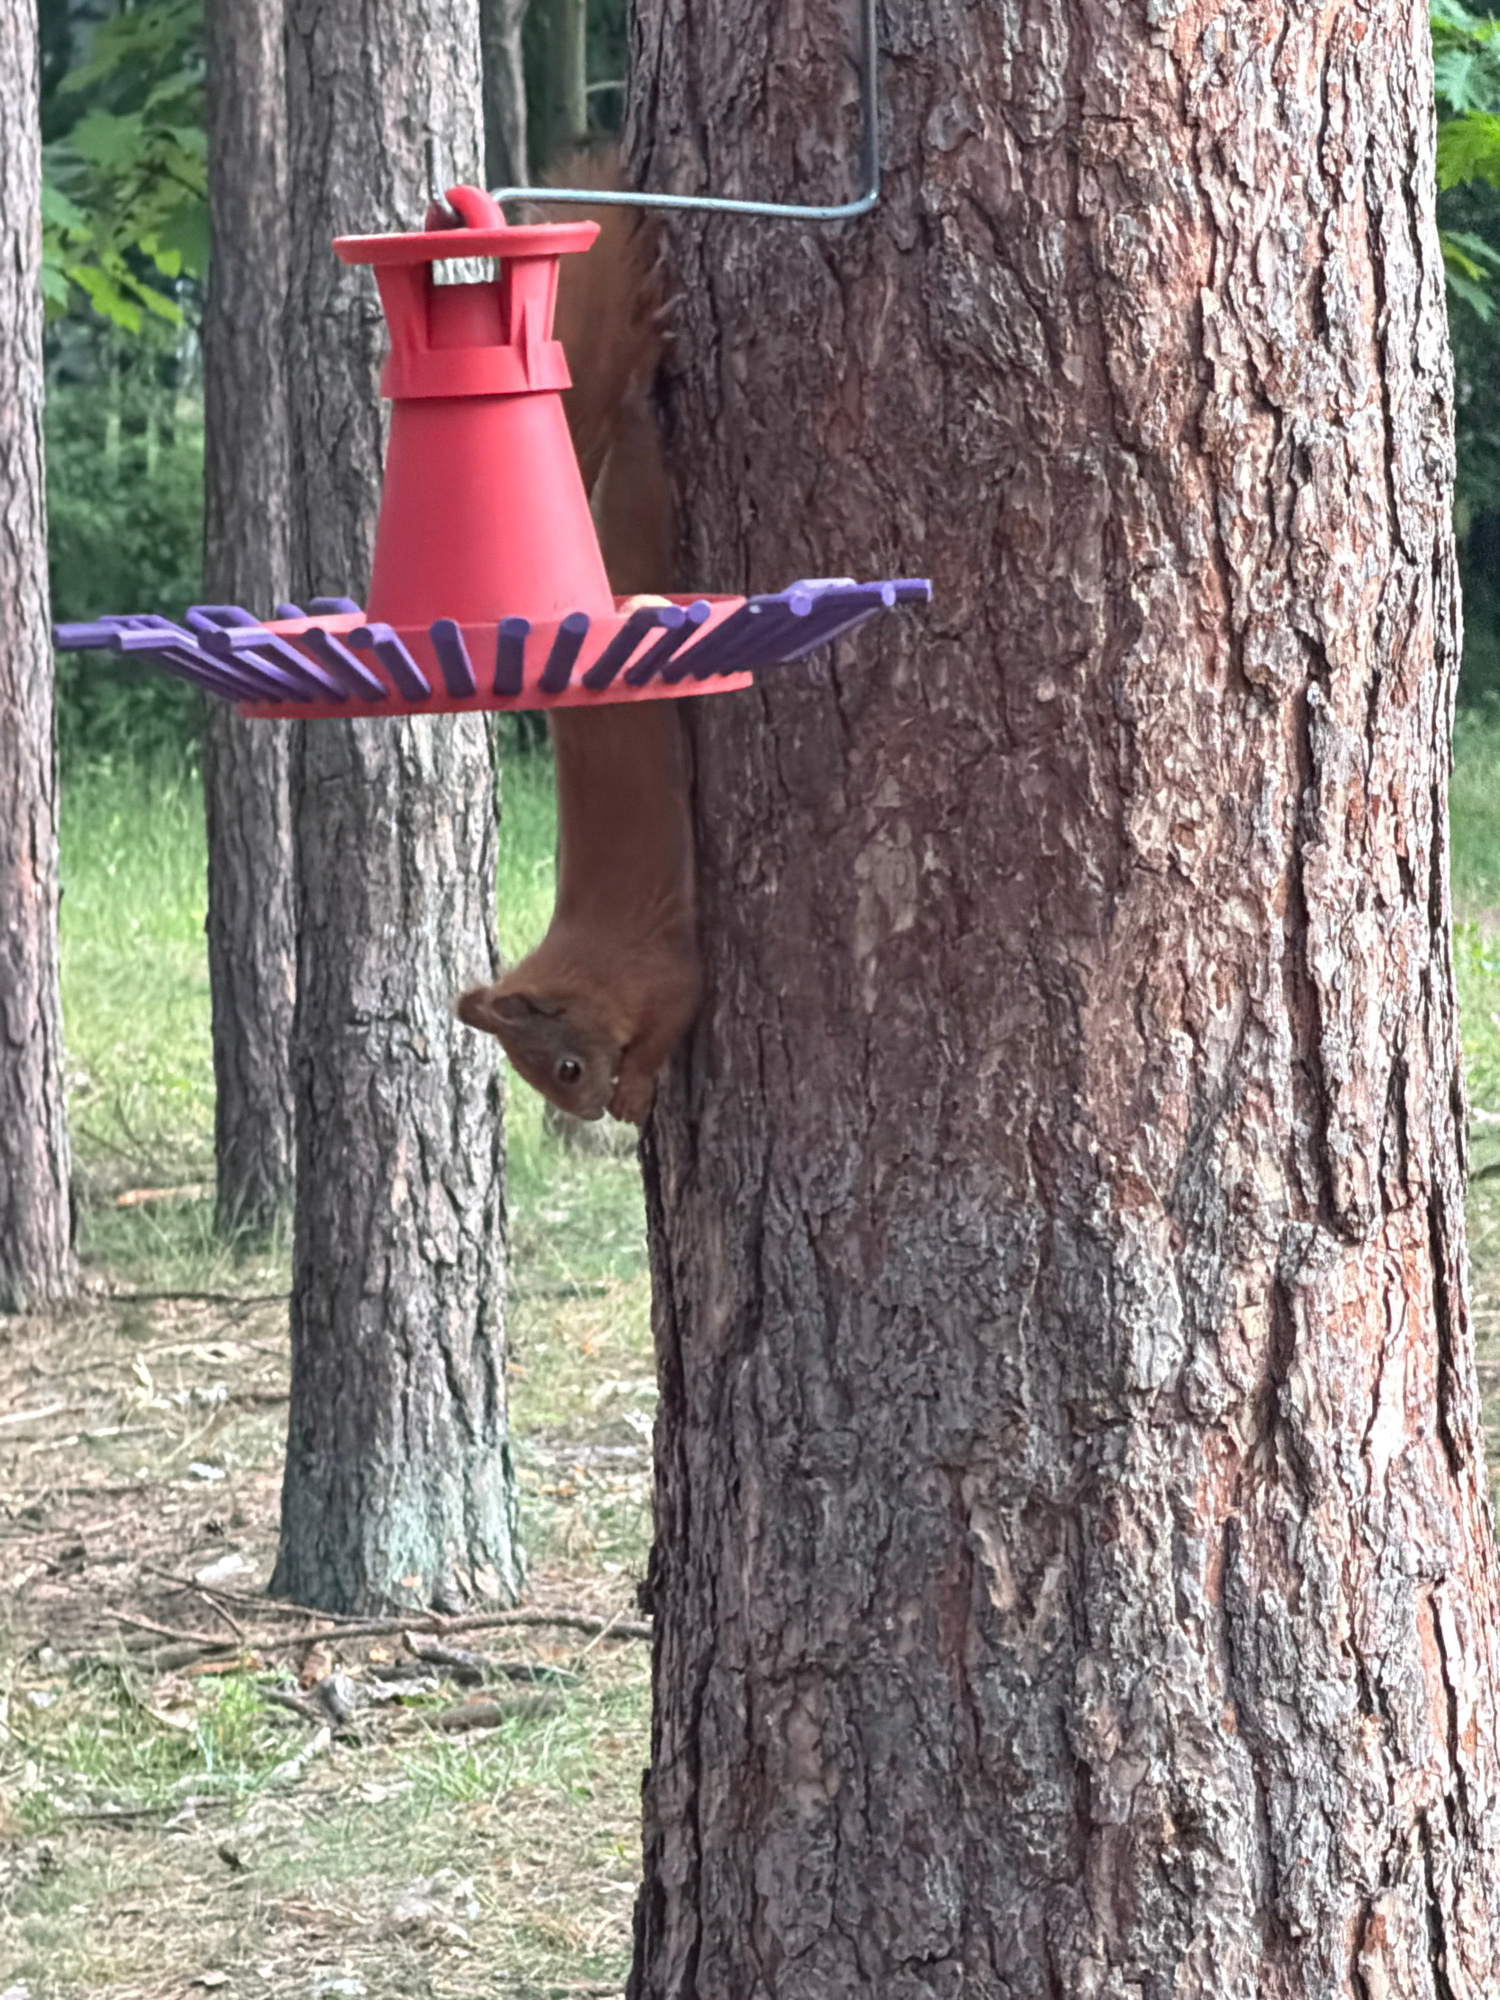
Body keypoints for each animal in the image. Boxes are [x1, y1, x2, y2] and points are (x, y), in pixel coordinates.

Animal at [455, 158, 701, 1125]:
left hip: (642, 513)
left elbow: (677, 1010)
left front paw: (635, 1094)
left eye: (561, 1066)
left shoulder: (661, 969)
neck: (588, 965)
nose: (589, 1111)